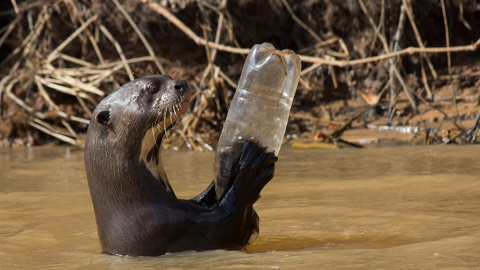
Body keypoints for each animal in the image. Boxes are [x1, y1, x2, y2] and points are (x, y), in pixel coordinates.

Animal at [85, 74, 278, 255]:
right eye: (152, 87)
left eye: (168, 77)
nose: (181, 83)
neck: (136, 204)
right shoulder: (171, 227)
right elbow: (228, 222)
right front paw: (250, 167)